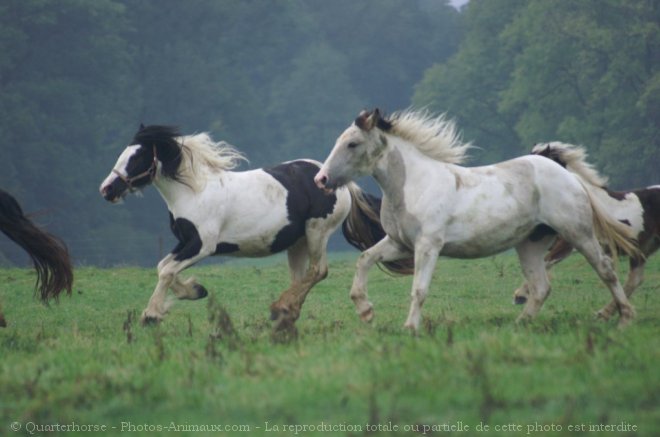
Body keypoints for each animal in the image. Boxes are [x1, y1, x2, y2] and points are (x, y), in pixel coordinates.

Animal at [99, 124, 408, 328]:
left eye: (136, 157)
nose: (107, 189)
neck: (194, 192)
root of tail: (333, 180)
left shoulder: (202, 245)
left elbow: (166, 271)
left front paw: (151, 314)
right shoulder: (184, 242)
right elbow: (163, 267)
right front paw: (195, 290)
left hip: (316, 232)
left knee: (318, 271)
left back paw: (282, 308)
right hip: (297, 242)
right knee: (301, 277)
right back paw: (286, 312)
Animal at [314, 110, 640, 330]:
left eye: (353, 144)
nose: (322, 179)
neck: (413, 185)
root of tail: (562, 171)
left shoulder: (428, 246)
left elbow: (419, 289)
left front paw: (410, 328)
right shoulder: (399, 244)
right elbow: (365, 259)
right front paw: (365, 310)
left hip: (577, 232)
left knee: (606, 270)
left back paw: (624, 318)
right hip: (530, 244)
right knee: (540, 287)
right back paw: (519, 326)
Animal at [516, 142, 660, 316]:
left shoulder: (567, 244)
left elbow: (546, 262)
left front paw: (520, 295)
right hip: (640, 252)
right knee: (634, 280)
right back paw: (605, 313)